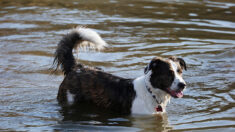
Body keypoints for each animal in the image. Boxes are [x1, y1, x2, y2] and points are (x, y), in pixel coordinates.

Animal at [53, 27, 187, 115]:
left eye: (180, 72)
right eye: (169, 73)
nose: (183, 85)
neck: (151, 92)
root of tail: (76, 68)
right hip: (68, 98)